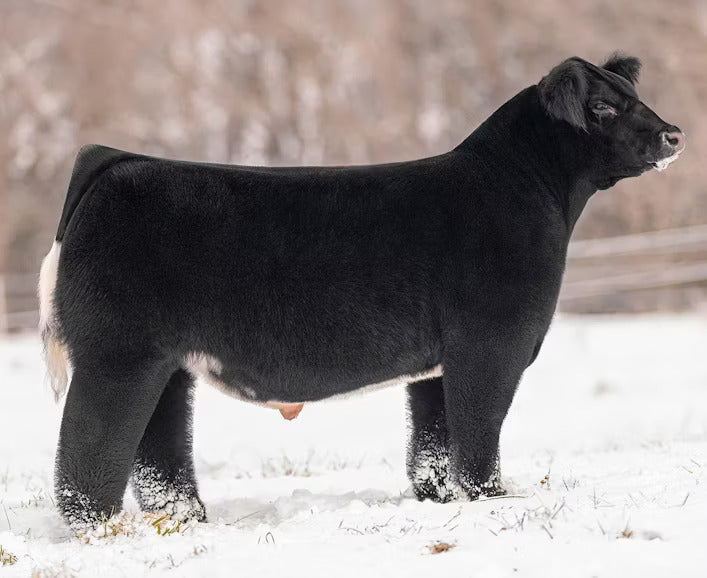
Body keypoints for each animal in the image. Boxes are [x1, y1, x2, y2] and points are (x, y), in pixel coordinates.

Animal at [38, 54, 684, 532]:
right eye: (603, 106)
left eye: (635, 95)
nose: (673, 134)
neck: (524, 190)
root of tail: (115, 161)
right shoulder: (492, 345)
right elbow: (478, 431)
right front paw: (492, 501)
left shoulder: (438, 362)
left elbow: (433, 439)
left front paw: (438, 501)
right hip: (118, 357)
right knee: (88, 448)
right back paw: (100, 530)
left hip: (166, 366)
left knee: (158, 449)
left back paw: (186, 520)